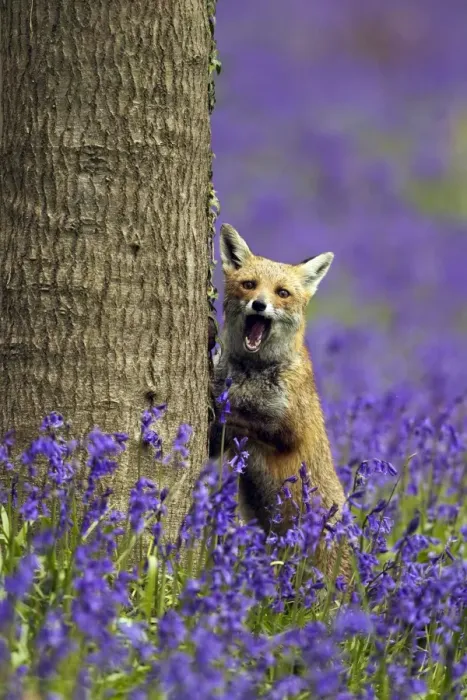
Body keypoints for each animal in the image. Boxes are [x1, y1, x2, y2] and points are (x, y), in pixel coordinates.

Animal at [209, 223, 349, 580]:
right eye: (249, 285)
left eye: (282, 293)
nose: (259, 305)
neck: (252, 374)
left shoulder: (291, 431)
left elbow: (245, 418)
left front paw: (220, 410)